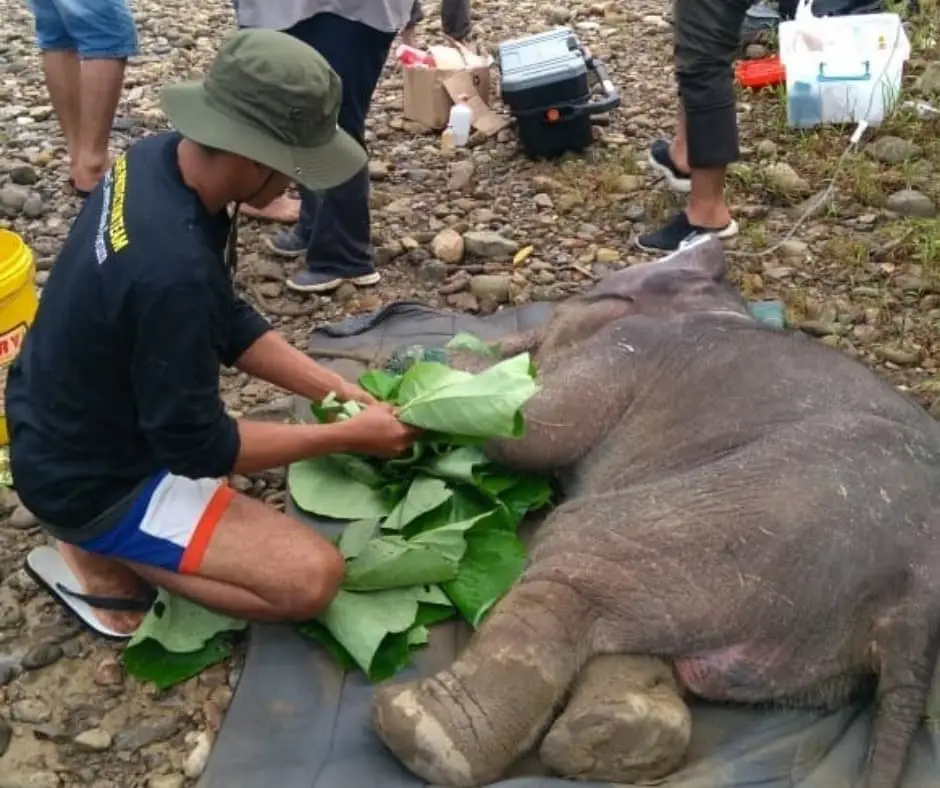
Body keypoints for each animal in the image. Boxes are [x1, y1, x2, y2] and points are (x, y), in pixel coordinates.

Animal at [370, 239, 940, 788]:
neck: (718, 307)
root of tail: (913, 614)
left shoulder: (630, 351)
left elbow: (530, 428)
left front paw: (419, 367)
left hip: (735, 519)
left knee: (567, 578)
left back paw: (419, 730)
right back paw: (621, 743)